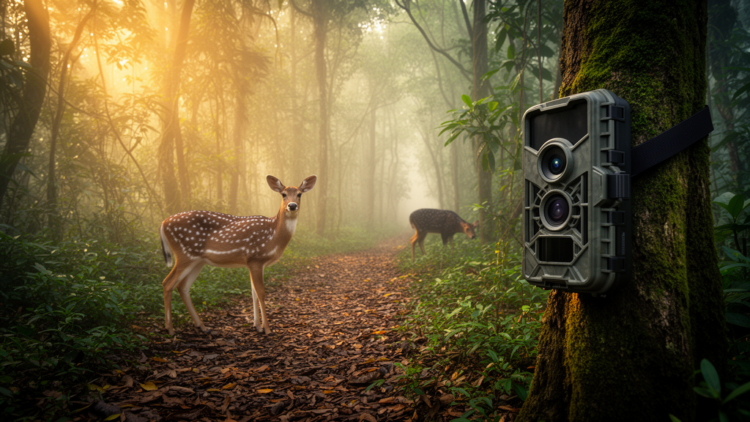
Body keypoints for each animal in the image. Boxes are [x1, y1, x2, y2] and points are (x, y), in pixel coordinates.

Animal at [159, 175, 317, 336]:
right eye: (283, 194)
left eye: (299, 194)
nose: (292, 205)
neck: (273, 236)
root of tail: (163, 223)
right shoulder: (255, 259)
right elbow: (261, 292)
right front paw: (267, 329)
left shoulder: (253, 263)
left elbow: (253, 293)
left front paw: (257, 326)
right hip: (184, 254)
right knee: (167, 283)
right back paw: (170, 329)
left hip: (197, 260)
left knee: (183, 287)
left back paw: (203, 327)